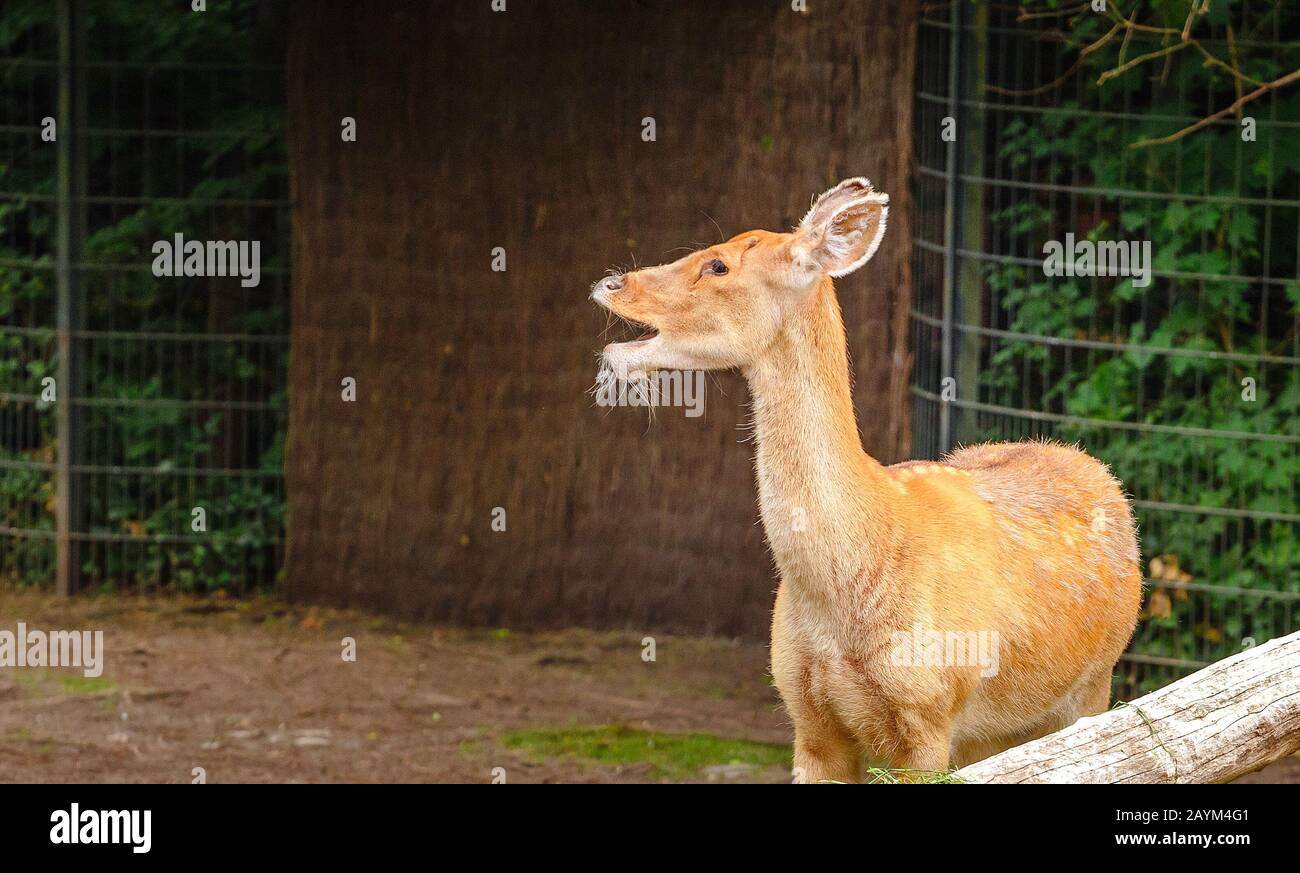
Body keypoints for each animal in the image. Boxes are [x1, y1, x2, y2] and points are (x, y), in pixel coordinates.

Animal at [595, 179, 1144, 784]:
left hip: (1093, 683)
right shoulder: (806, 715)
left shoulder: (930, 714)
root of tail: (1096, 470)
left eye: (718, 264)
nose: (610, 282)